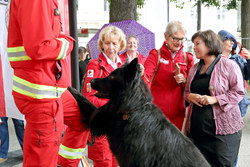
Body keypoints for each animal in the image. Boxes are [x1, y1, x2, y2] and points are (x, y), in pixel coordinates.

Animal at [67, 58, 210, 167]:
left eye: (112, 76)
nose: (91, 81)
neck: (133, 109)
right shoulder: (104, 120)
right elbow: (87, 104)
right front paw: (71, 90)